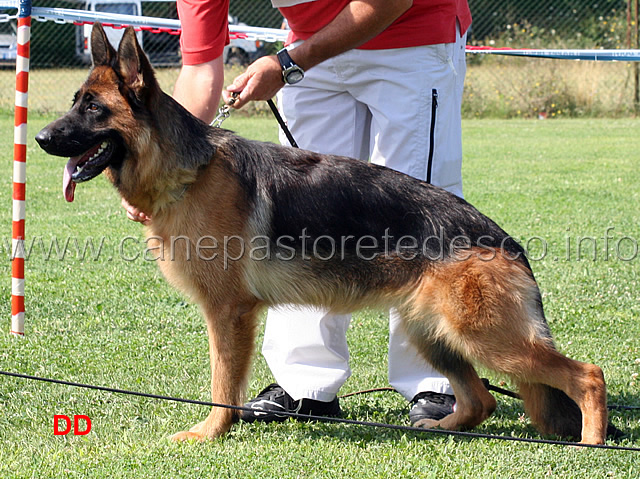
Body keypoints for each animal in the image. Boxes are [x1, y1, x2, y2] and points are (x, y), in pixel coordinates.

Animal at [36, 24, 616, 444]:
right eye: (74, 101)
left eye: (93, 108)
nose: (40, 138)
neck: (189, 171)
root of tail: (502, 239)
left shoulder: (229, 313)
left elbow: (223, 383)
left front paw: (210, 433)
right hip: (436, 333)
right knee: (482, 400)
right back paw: (442, 427)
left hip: (484, 336)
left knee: (587, 375)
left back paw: (590, 444)